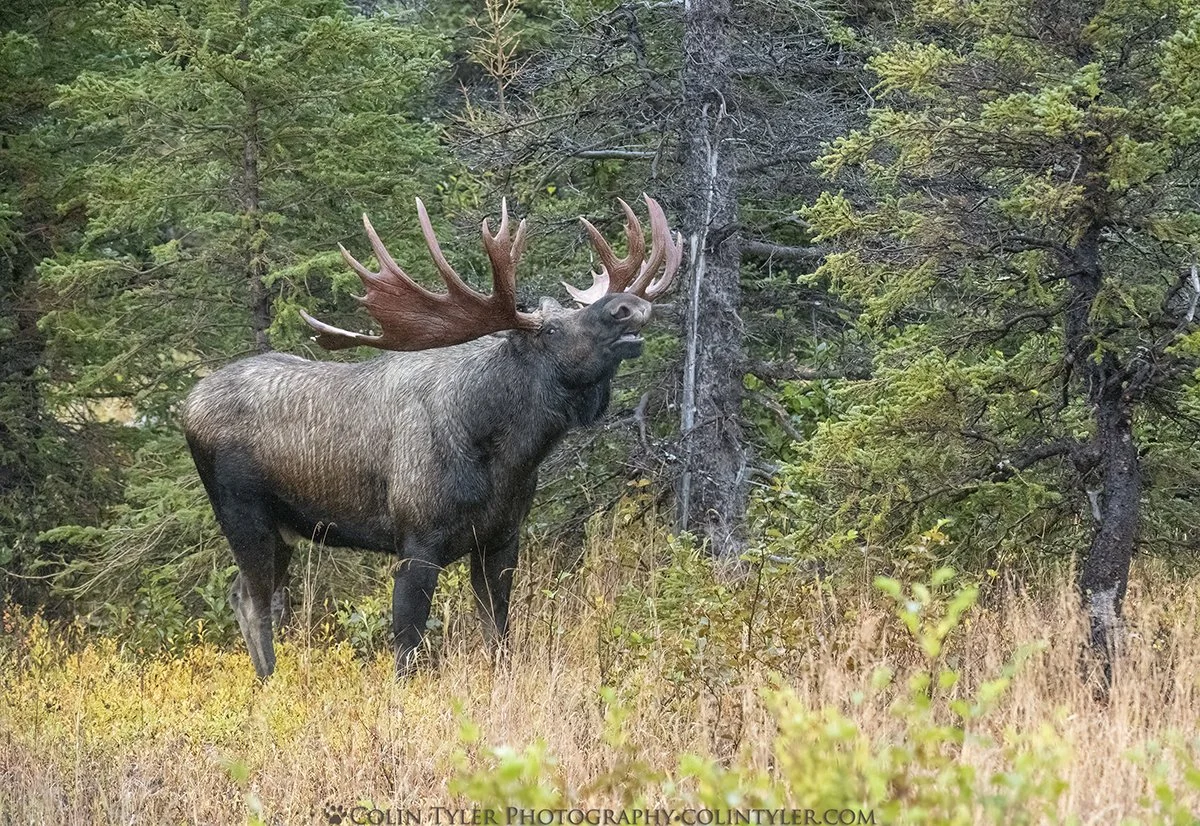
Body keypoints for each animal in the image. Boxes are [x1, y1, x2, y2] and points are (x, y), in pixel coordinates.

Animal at [182, 195, 681, 678]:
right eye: (553, 329)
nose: (628, 307)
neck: (507, 457)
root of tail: (187, 405)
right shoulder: (417, 538)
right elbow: (407, 645)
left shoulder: (501, 537)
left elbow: (499, 633)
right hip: (244, 516)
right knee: (254, 602)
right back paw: (269, 682)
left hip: (284, 529)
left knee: (248, 595)